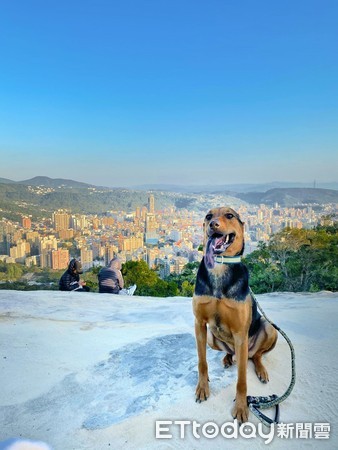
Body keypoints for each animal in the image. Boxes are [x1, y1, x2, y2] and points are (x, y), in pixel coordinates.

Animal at [193, 207, 278, 422]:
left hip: (268, 329)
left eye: (230, 215)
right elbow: (202, 362)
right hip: (211, 337)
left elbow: (242, 380)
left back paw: (260, 369)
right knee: (230, 352)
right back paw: (227, 358)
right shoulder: (199, 324)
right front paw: (202, 388)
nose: (213, 224)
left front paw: (241, 407)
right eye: (208, 216)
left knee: (256, 356)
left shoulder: (240, 333)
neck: (220, 265)